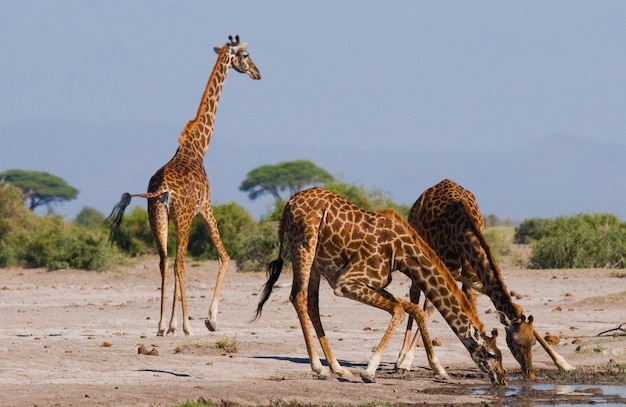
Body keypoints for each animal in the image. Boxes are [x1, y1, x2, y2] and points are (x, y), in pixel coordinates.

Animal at [108, 35, 260, 336]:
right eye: (246, 55)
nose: (258, 73)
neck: (198, 147)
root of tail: (162, 191)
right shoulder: (205, 207)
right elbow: (225, 256)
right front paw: (209, 320)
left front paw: (171, 325)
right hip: (184, 216)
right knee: (180, 262)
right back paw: (188, 325)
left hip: (158, 217)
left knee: (164, 261)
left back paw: (160, 325)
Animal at [251, 188, 504, 386]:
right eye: (491, 354)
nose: (502, 379)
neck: (402, 254)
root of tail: (288, 204)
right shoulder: (346, 283)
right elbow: (400, 310)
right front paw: (370, 371)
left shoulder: (375, 283)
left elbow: (413, 309)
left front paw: (439, 370)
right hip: (304, 246)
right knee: (298, 297)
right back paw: (320, 368)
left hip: (316, 262)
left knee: (312, 303)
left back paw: (338, 368)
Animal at [392, 178, 572, 380]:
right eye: (515, 343)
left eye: (532, 342)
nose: (530, 374)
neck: (462, 231)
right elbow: (429, 308)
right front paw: (407, 362)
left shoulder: (477, 280)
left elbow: (508, 308)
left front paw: (564, 364)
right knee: (415, 297)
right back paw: (400, 359)